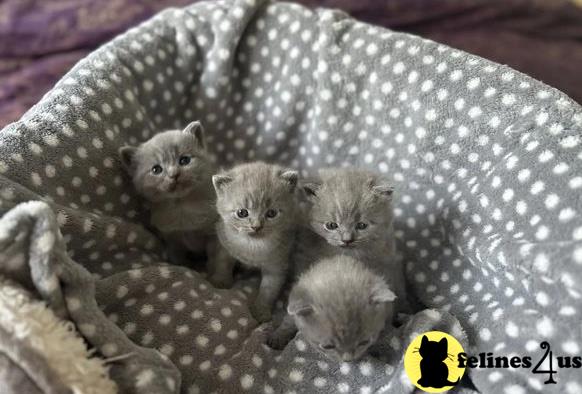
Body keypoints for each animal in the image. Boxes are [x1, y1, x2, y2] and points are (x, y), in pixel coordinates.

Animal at [119, 121, 219, 266]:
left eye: (184, 160)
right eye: (156, 169)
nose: (174, 174)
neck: (181, 207)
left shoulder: (216, 235)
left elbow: (219, 262)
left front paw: (216, 273)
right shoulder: (172, 240)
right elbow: (177, 259)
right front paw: (186, 267)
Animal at [211, 162, 298, 322]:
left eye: (271, 213)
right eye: (242, 213)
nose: (256, 226)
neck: (252, 246)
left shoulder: (277, 264)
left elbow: (268, 290)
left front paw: (261, 310)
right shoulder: (224, 243)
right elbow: (222, 263)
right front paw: (220, 281)